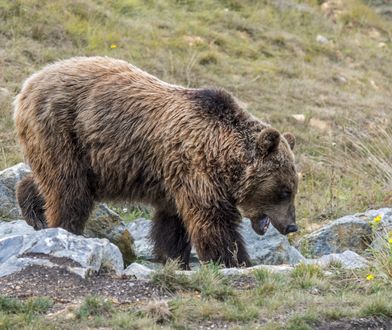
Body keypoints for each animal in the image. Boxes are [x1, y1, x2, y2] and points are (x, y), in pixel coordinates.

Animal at [13, 56, 298, 268]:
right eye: (284, 191)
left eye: (293, 189)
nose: (292, 226)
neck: (221, 155)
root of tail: (29, 83)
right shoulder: (195, 169)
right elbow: (214, 221)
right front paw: (236, 260)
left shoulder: (174, 179)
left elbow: (172, 224)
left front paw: (175, 259)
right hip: (62, 129)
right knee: (69, 188)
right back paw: (63, 228)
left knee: (50, 180)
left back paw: (33, 210)